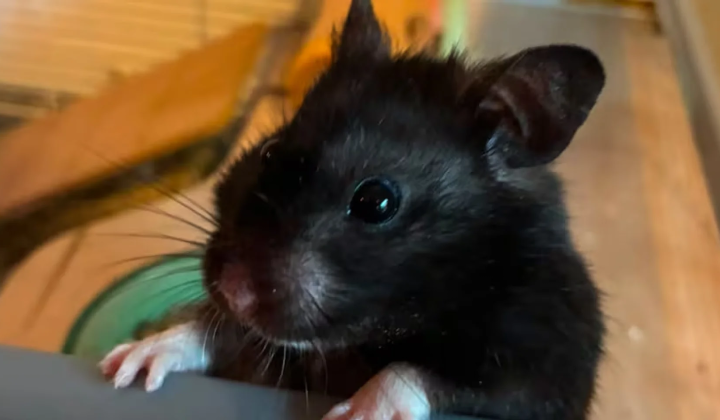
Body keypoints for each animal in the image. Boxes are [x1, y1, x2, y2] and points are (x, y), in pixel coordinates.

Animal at [100, 1, 606, 419]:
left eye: (376, 202)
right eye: (268, 152)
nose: (234, 291)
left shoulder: (545, 367)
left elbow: (418, 374)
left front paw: (352, 415)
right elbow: (216, 331)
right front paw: (129, 364)